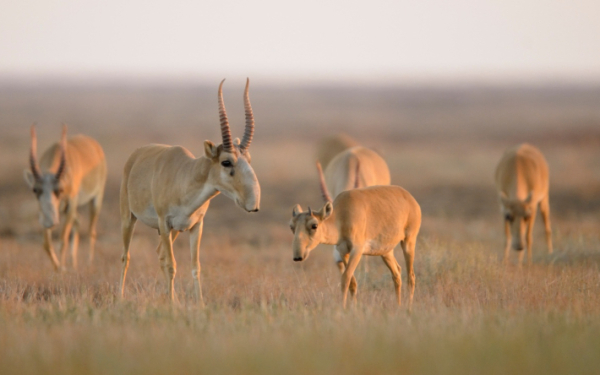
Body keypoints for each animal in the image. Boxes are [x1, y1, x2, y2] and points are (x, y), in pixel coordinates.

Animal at [23, 125, 108, 270]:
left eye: (60, 189)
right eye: (35, 189)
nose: (50, 222)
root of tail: (94, 145)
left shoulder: (71, 204)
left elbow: (63, 240)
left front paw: (62, 269)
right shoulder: (44, 212)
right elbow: (46, 244)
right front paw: (58, 269)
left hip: (95, 200)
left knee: (91, 231)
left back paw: (88, 263)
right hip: (64, 209)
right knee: (78, 221)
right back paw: (74, 264)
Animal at [120, 79, 262, 306]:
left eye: (248, 159)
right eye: (226, 161)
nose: (254, 203)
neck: (185, 176)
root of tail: (136, 154)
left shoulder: (196, 226)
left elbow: (195, 266)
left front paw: (199, 304)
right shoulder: (164, 223)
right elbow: (172, 265)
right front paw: (172, 305)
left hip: (175, 231)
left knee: (160, 254)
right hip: (129, 219)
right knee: (126, 256)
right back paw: (120, 296)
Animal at [290, 166, 422, 310]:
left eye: (314, 225)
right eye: (292, 226)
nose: (298, 257)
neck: (341, 215)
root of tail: (410, 198)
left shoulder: (357, 251)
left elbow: (345, 278)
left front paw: (343, 308)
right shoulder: (343, 252)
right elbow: (352, 282)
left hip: (408, 242)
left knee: (411, 276)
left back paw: (408, 307)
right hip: (386, 252)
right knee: (397, 273)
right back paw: (398, 305)